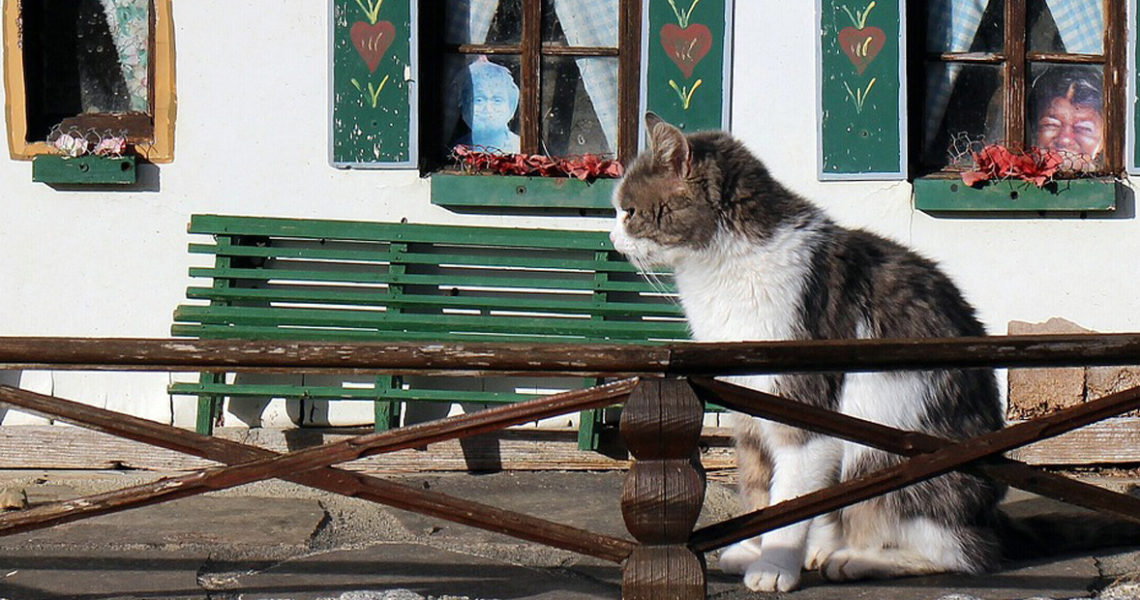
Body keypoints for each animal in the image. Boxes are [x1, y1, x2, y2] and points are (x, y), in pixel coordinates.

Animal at [611, 115, 1003, 593]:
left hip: (886, 456)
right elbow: (761, 488)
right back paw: (824, 548)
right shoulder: (748, 412)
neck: (722, 271)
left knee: (958, 552)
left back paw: (857, 559)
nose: (611, 236)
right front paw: (755, 550)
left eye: (629, 211)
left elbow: (789, 501)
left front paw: (773, 566)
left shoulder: (804, 411)